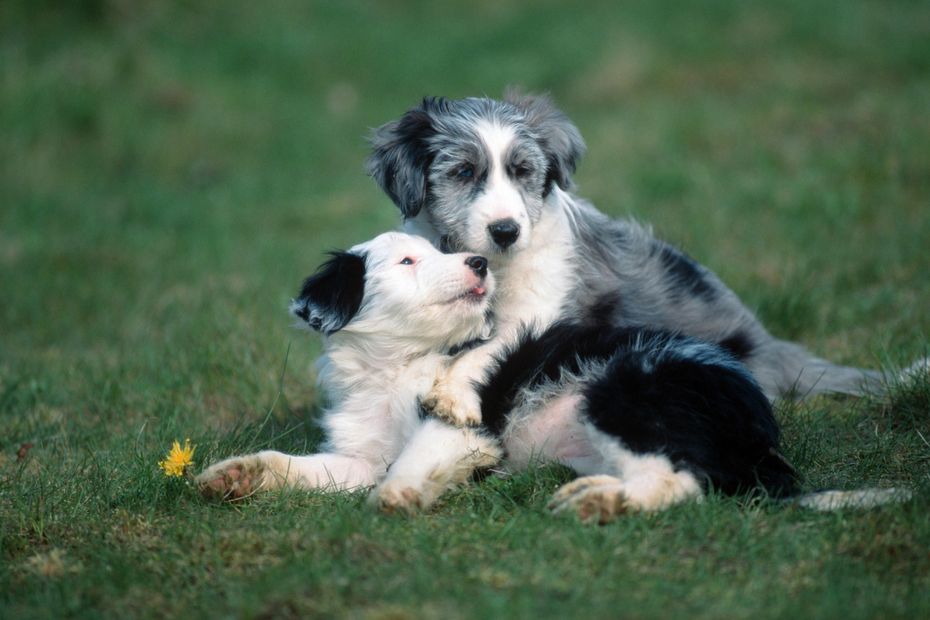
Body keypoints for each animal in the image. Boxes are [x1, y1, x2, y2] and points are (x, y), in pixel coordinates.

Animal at [196, 232, 500, 512]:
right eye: (406, 261)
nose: (480, 262)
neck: (394, 370)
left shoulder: (464, 427)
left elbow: (420, 450)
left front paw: (393, 493)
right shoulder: (365, 460)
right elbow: (300, 465)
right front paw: (237, 473)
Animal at [364, 93, 920, 426]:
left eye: (522, 171)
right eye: (462, 172)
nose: (506, 230)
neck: (497, 265)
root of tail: (773, 348)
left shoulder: (542, 308)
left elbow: (493, 345)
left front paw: (453, 396)